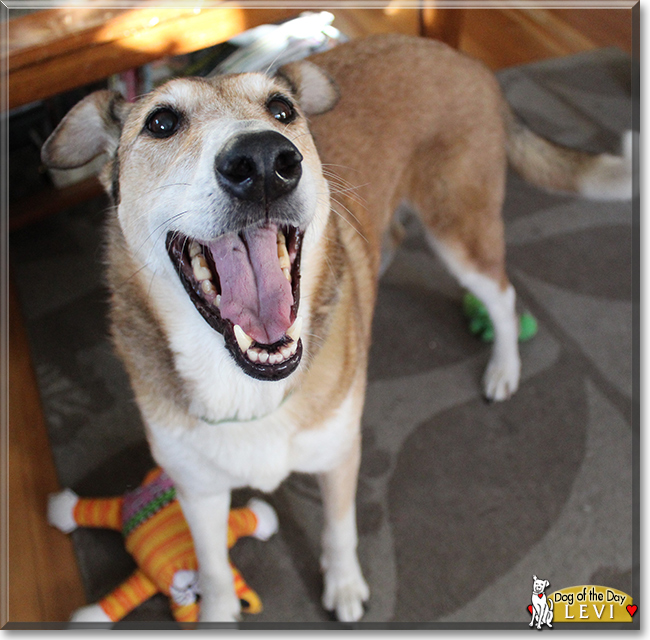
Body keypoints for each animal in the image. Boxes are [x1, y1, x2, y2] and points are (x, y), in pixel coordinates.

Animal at [40, 32, 628, 624]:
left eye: (282, 110)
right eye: (161, 122)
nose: (264, 160)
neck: (247, 387)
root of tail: (458, 56)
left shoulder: (340, 455)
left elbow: (340, 529)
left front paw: (344, 585)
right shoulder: (197, 489)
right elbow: (212, 568)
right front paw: (217, 613)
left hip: (460, 230)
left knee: (503, 299)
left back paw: (504, 368)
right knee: (393, 239)